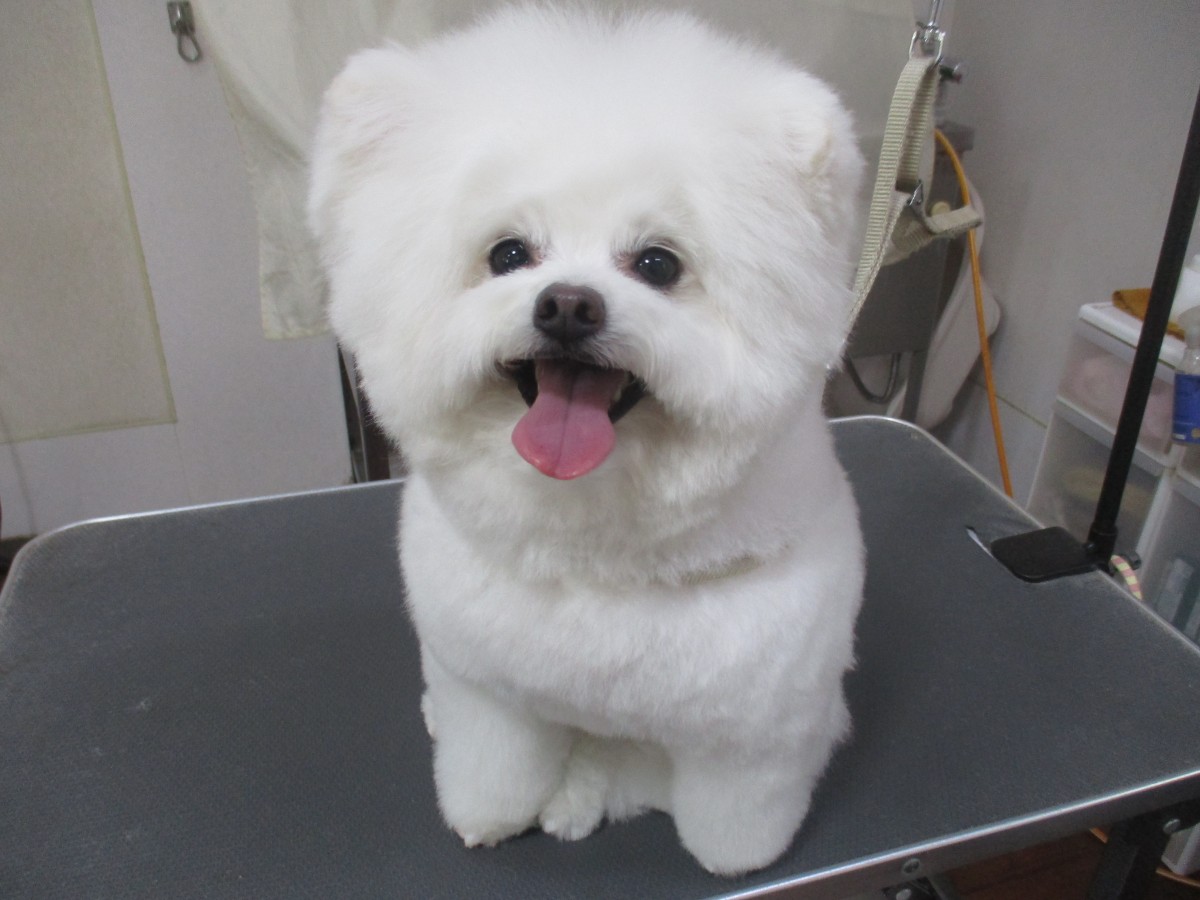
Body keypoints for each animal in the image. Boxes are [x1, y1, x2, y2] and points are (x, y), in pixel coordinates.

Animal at [309, 4, 865, 875]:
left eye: (658, 264)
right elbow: (492, 763)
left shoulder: (755, 724)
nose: (568, 304)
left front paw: (736, 858)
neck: (593, 543)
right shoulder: (488, 690)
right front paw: (487, 815)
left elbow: (737, 811)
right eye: (508, 253)